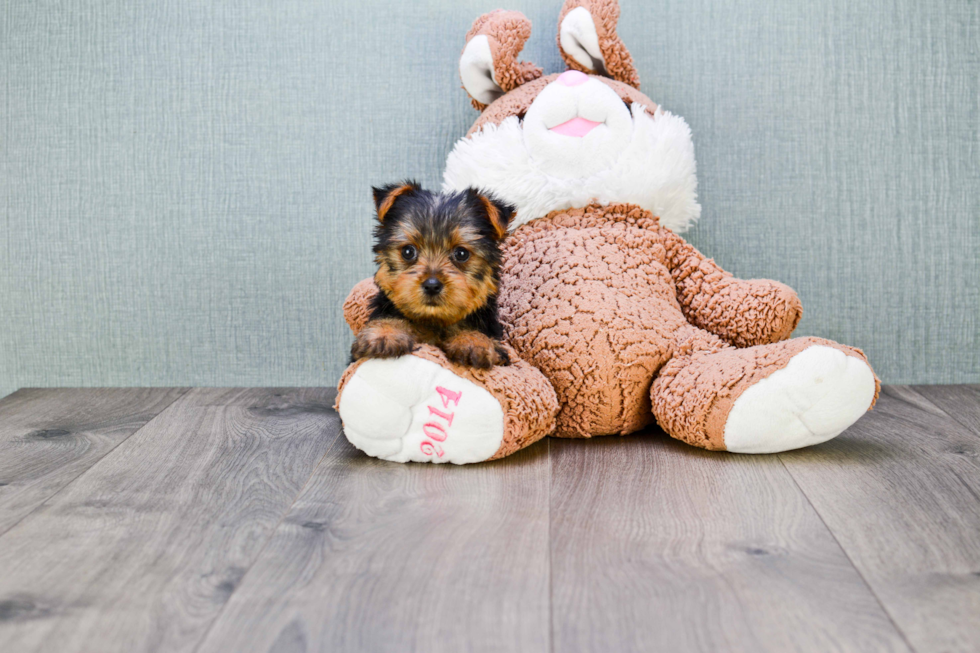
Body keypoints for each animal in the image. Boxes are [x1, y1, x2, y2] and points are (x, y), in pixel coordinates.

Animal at [354, 181, 520, 370]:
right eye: (408, 251)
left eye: (461, 254)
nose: (432, 285)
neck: (433, 320)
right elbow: (390, 316)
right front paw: (384, 333)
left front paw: (472, 341)